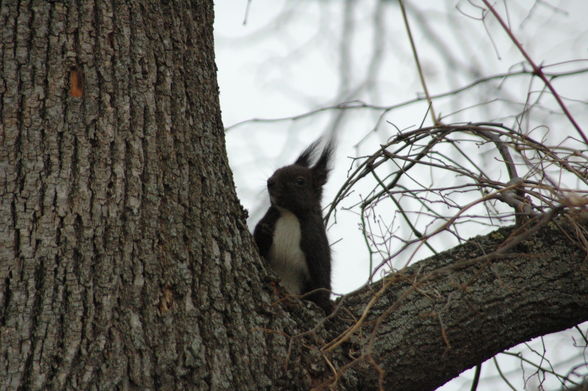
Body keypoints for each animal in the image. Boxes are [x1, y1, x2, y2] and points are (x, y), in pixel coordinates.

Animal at [254, 139, 336, 314]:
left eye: (300, 181)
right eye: (276, 170)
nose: (270, 181)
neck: (289, 214)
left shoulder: (316, 243)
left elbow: (321, 277)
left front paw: (324, 305)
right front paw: (264, 231)